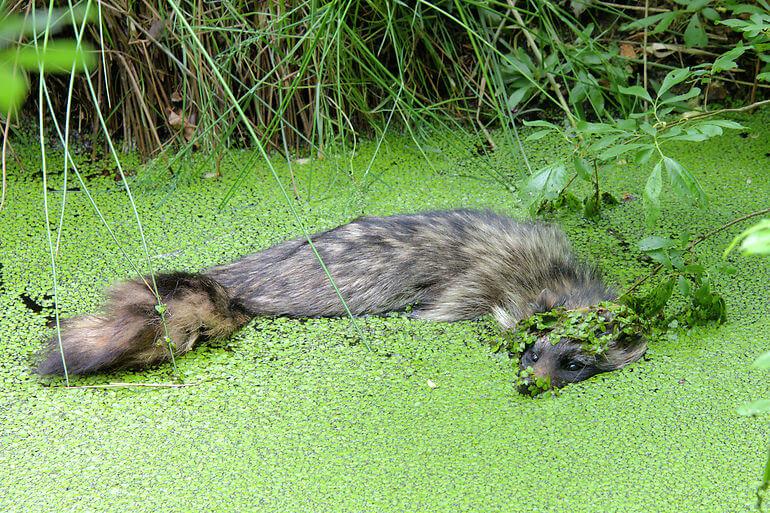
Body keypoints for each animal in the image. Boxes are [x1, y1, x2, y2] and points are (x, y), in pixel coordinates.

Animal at [37, 208, 648, 388]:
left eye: (575, 363)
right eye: (531, 348)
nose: (528, 383)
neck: (557, 279)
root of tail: (235, 280)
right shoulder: (475, 285)